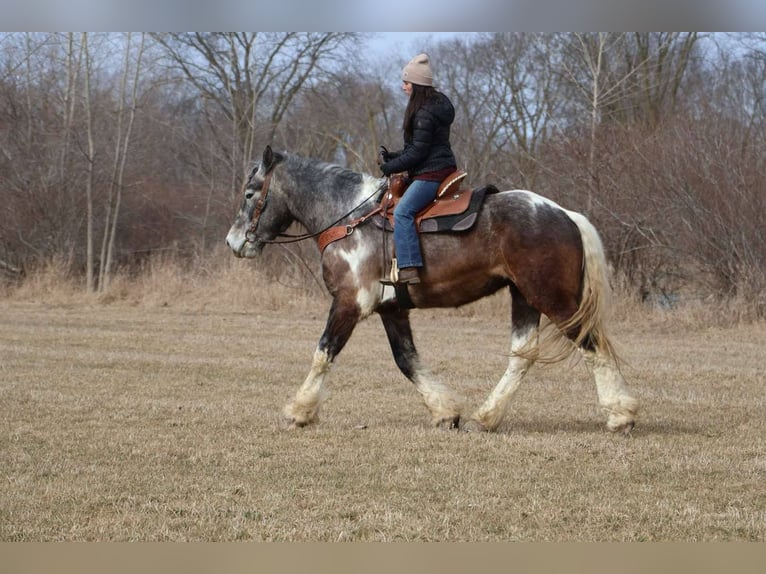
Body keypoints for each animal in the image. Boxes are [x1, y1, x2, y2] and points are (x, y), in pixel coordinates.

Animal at [225, 146, 638, 434]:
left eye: (250, 192)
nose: (234, 242)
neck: (350, 218)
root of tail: (565, 214)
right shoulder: (391, 310)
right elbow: (406, 359)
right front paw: (446, 412)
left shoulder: (348, 303)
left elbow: (323, 353)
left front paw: (299, 410)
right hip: (524, 297)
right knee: (523, 355)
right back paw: (487, 417)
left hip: (553, 299)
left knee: (591, 344)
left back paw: (620, 415)